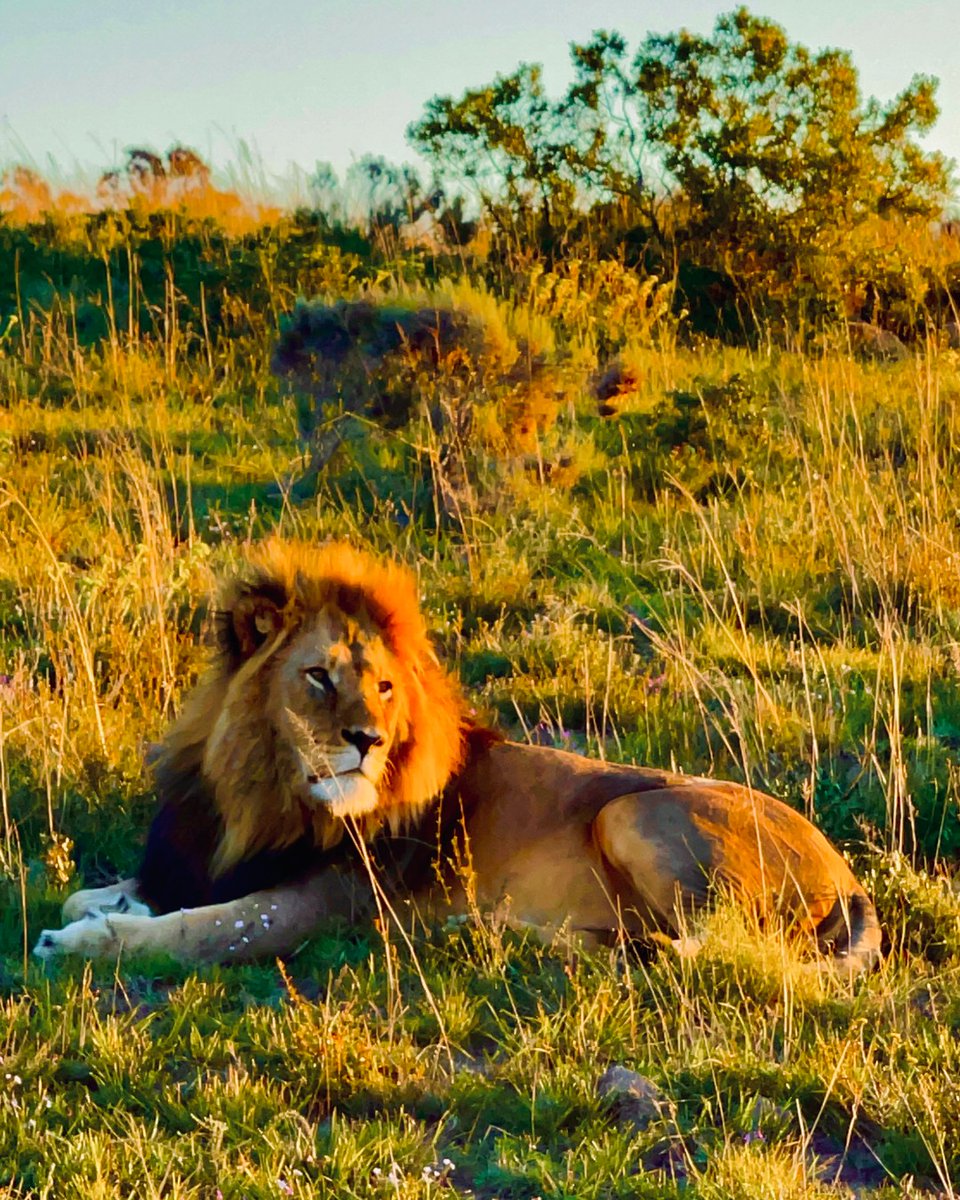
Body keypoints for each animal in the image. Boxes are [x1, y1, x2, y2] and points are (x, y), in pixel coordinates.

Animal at [34, 541, 881, 972]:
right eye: (318, 677)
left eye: (383, 687)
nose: (368, 742)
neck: (258, 793)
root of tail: (851, 877)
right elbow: (90, 894)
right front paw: (99, 910)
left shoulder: (318, 906)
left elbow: (194, 933)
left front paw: (78, 942)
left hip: (631, 813)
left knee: (721, 949)